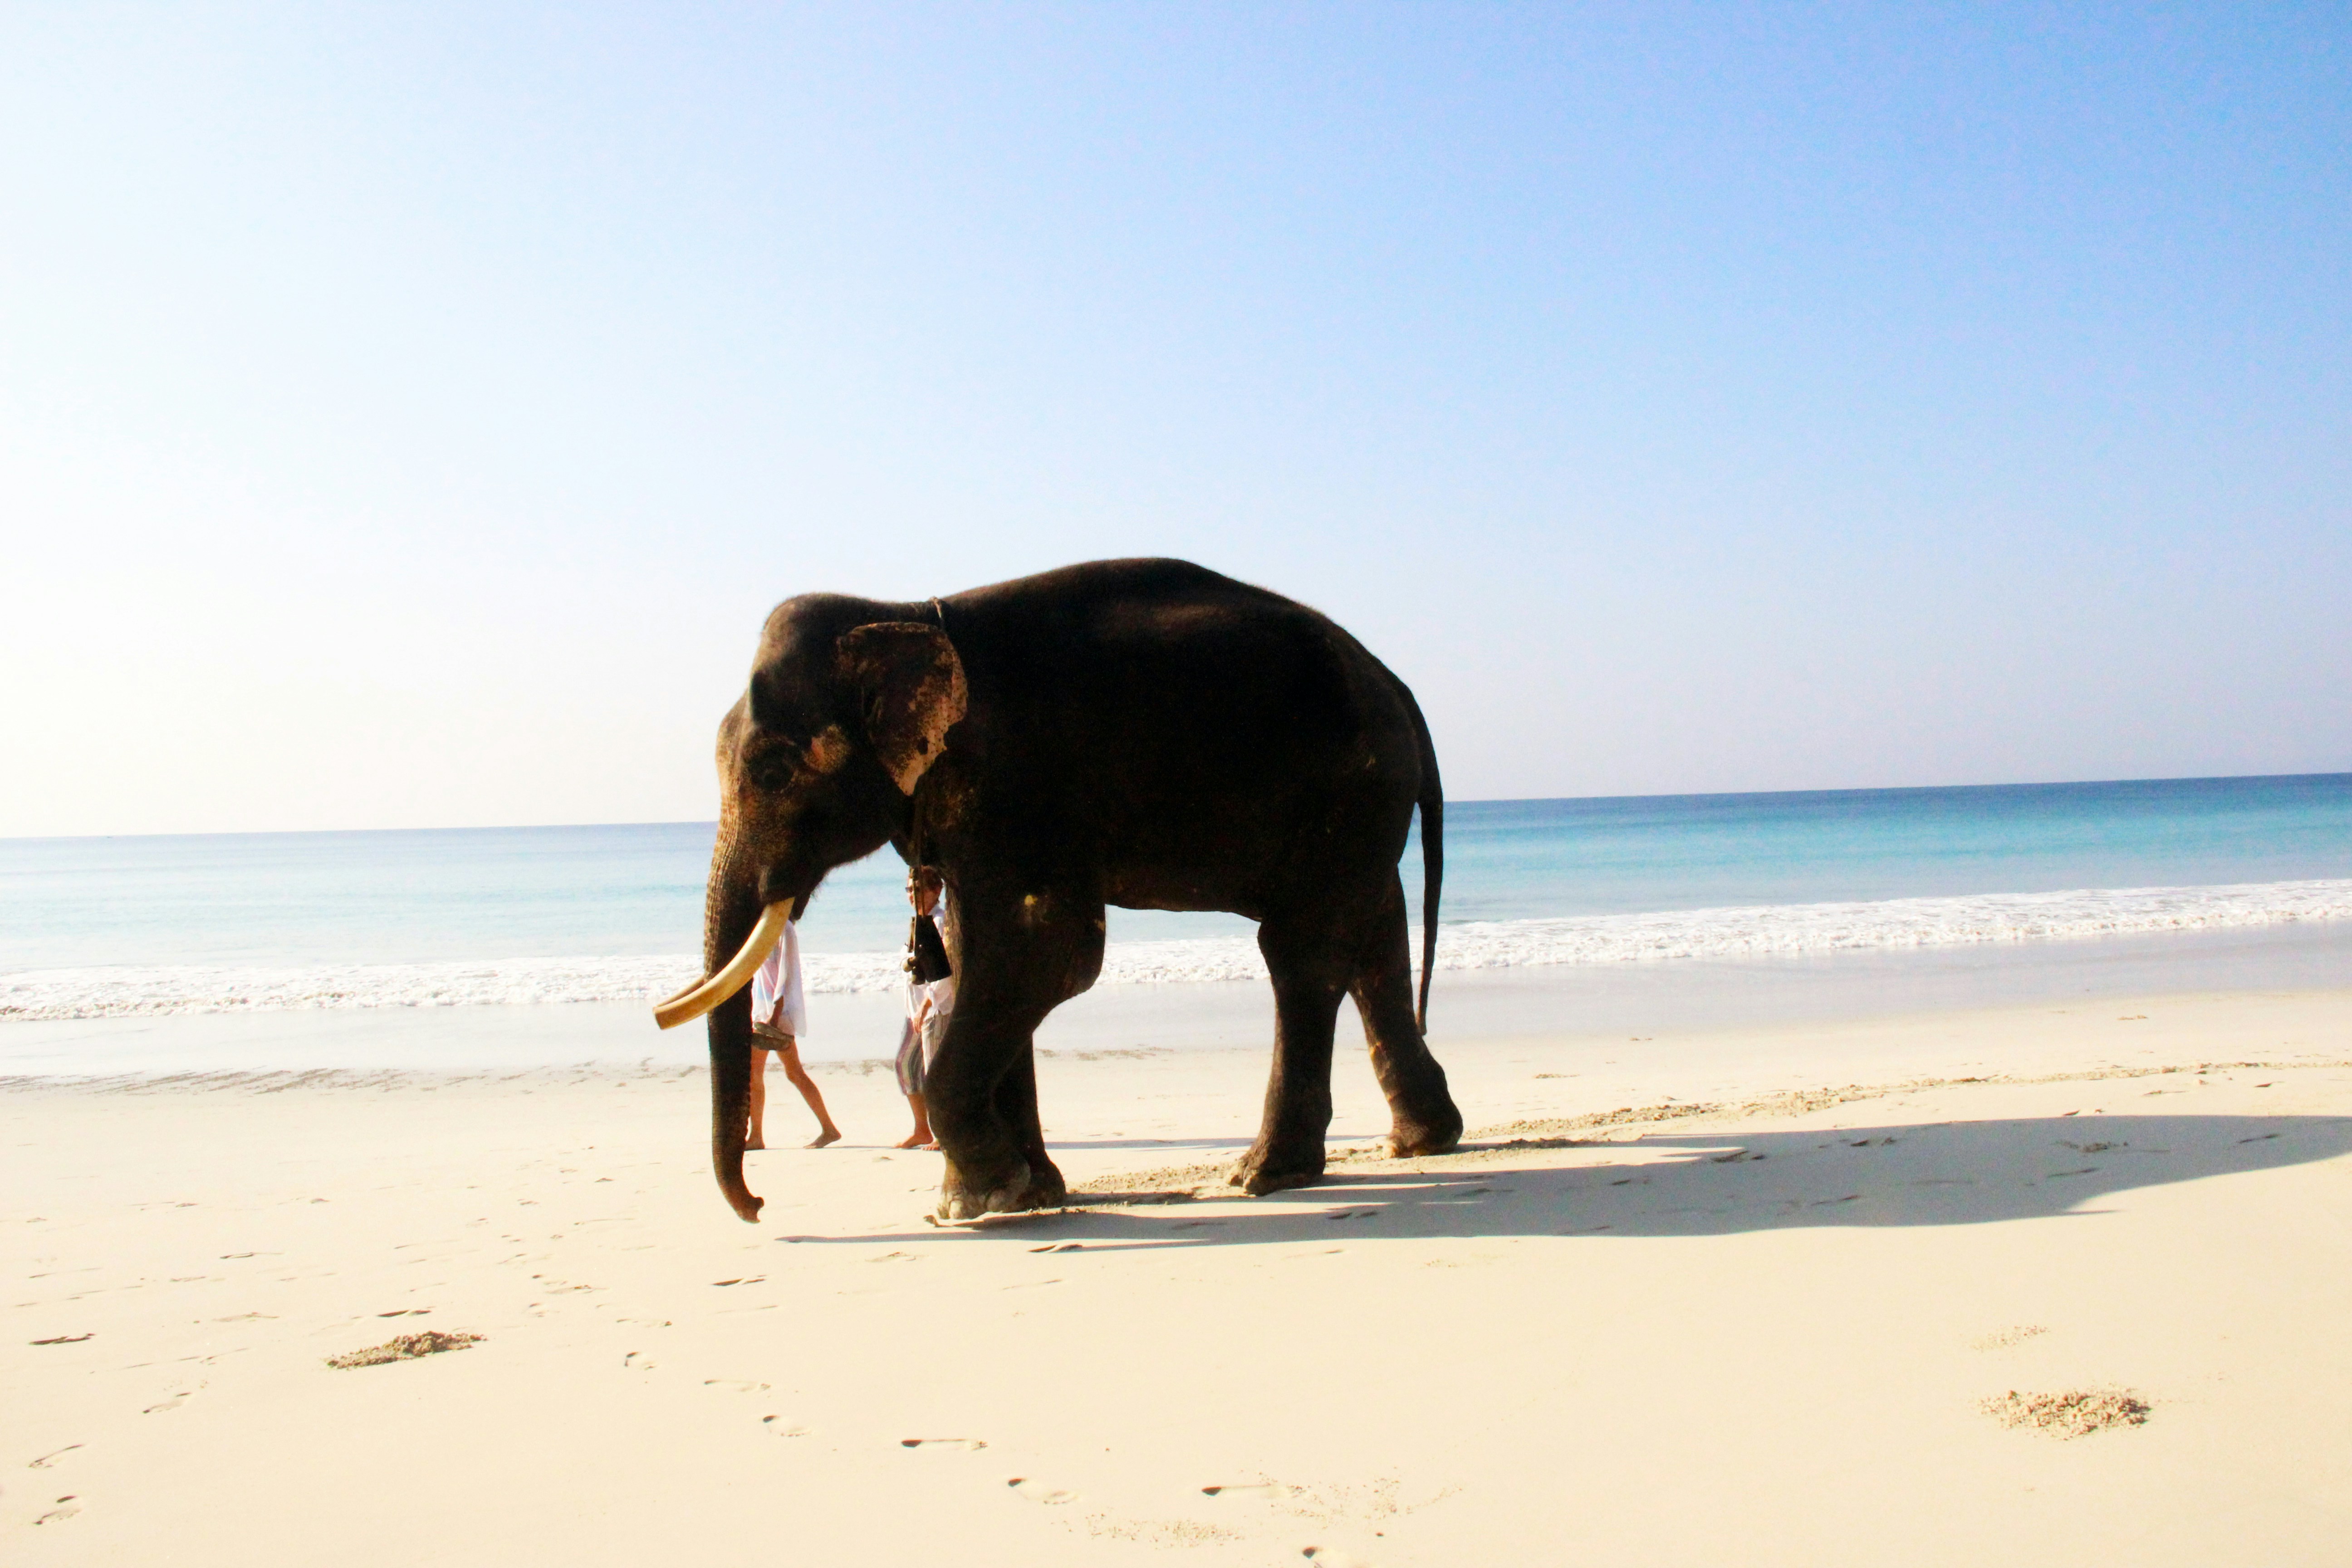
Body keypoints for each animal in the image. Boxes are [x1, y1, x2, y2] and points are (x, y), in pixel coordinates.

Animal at [655, 557, 1463, 1222]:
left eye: (771, 772)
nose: (759, 1206)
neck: (907, 611)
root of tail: (1396, 685)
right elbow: (977, 956)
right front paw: (1023, 1195)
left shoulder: (1018, 786)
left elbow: (1046, 956)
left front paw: (981, 1201)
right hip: (1364, 803)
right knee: (1373, 943)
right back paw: (1419, 1143)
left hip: (1348, 787)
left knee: (1301, 953)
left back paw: (1263, 1176)